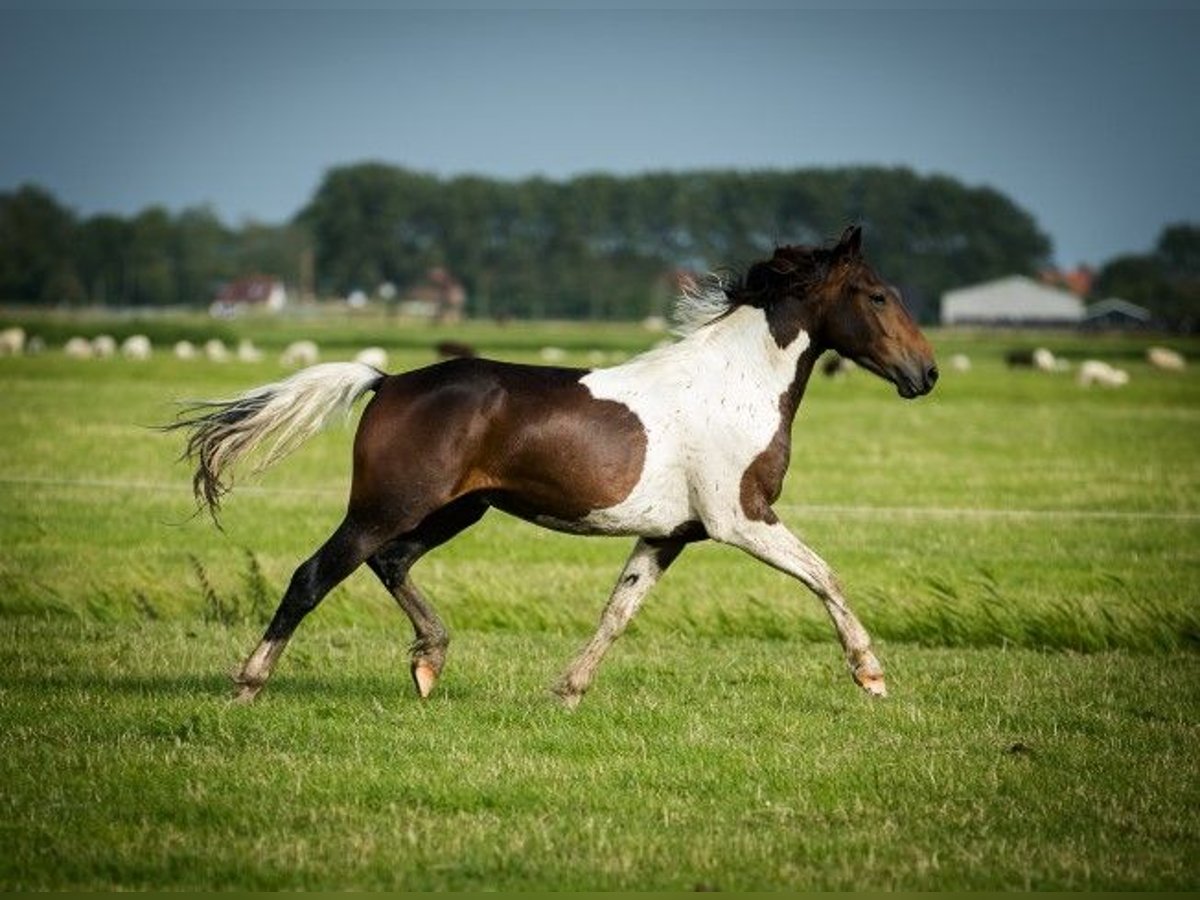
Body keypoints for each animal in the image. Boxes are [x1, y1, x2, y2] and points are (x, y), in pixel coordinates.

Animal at [169, 224, 936, 705]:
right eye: (877, 295)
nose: (924, 374)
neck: (737, 384)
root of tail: (387, 382)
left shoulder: (669, 534)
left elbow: (618, 611)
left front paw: (566, 692)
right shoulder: (740, 517)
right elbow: (825, 576)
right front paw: (872, 677)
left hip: (455, 509)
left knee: (389, 563)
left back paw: (430, 662)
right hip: (389, 504)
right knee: (315, 574)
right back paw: (248, 683)